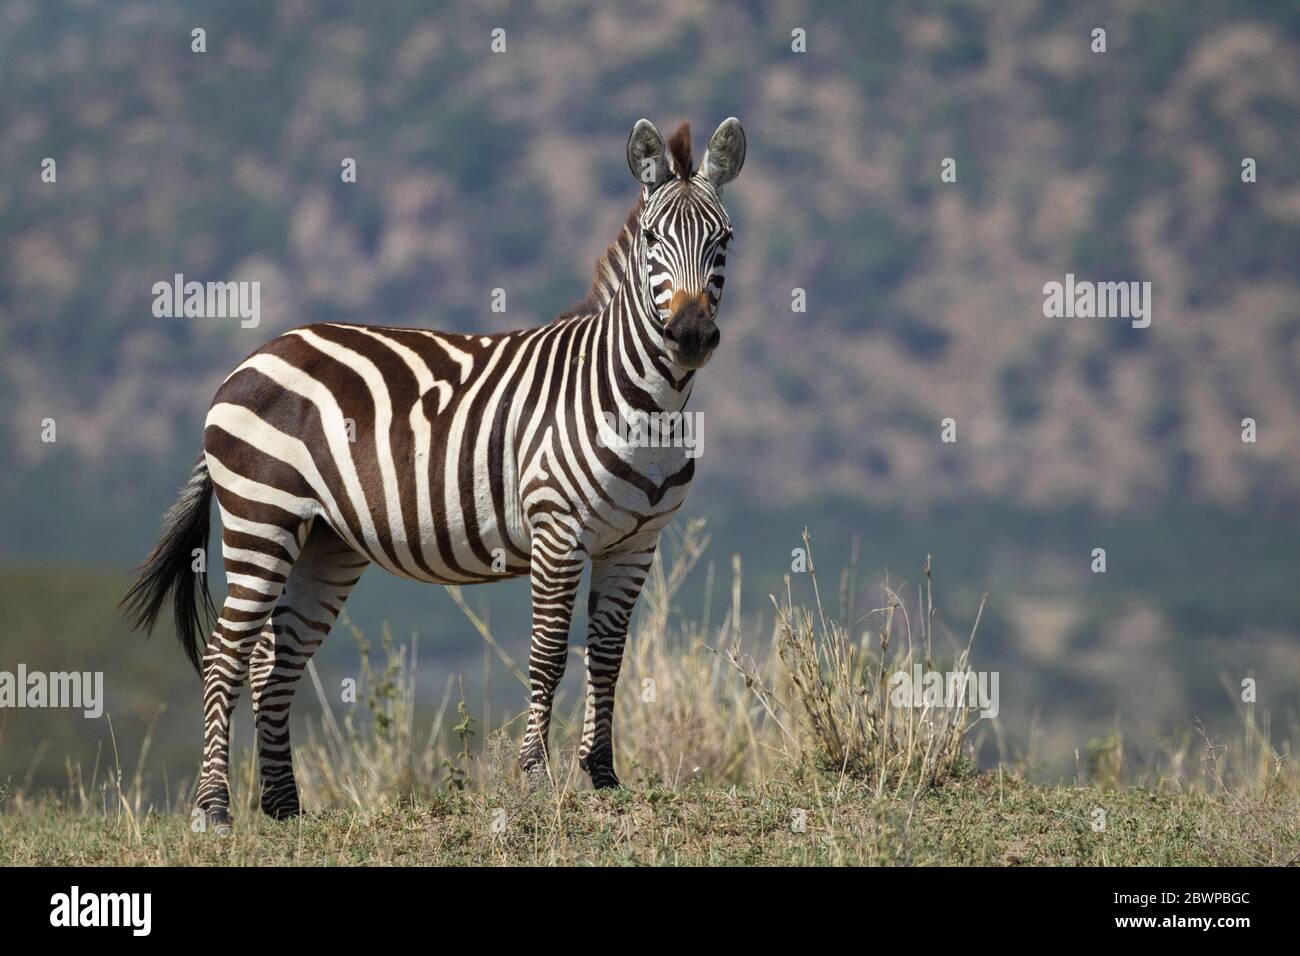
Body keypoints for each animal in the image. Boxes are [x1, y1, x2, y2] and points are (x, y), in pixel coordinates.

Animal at [124, 113, 754, 832]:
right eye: (652, 239)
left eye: (725, 241)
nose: (691, 335)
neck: (646, 403)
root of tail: (253, 356)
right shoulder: (557, 530)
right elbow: (548, 655)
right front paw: (534, 780)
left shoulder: (635, 543)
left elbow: (608, 658)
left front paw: (603, 777)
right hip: (262, 517)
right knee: (225, 655)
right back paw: (214, 810)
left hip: (325, 542)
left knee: (271, 662)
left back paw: (284, 808)